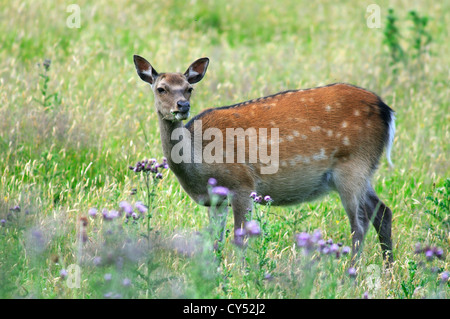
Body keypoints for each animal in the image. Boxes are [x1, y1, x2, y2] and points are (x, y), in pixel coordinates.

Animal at [133, 55, 394, 264]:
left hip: (353, 164)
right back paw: (388, 268)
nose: (183, 106)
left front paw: (240, 277)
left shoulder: (242, 184)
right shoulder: (215, 199)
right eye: (161, 89)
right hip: (364, 170)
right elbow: (215, 241)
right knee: (382, 211)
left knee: (359, 224)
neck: (199, 163)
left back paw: (350, 274)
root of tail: (387, 111)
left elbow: (240, 239)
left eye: (189, 88)